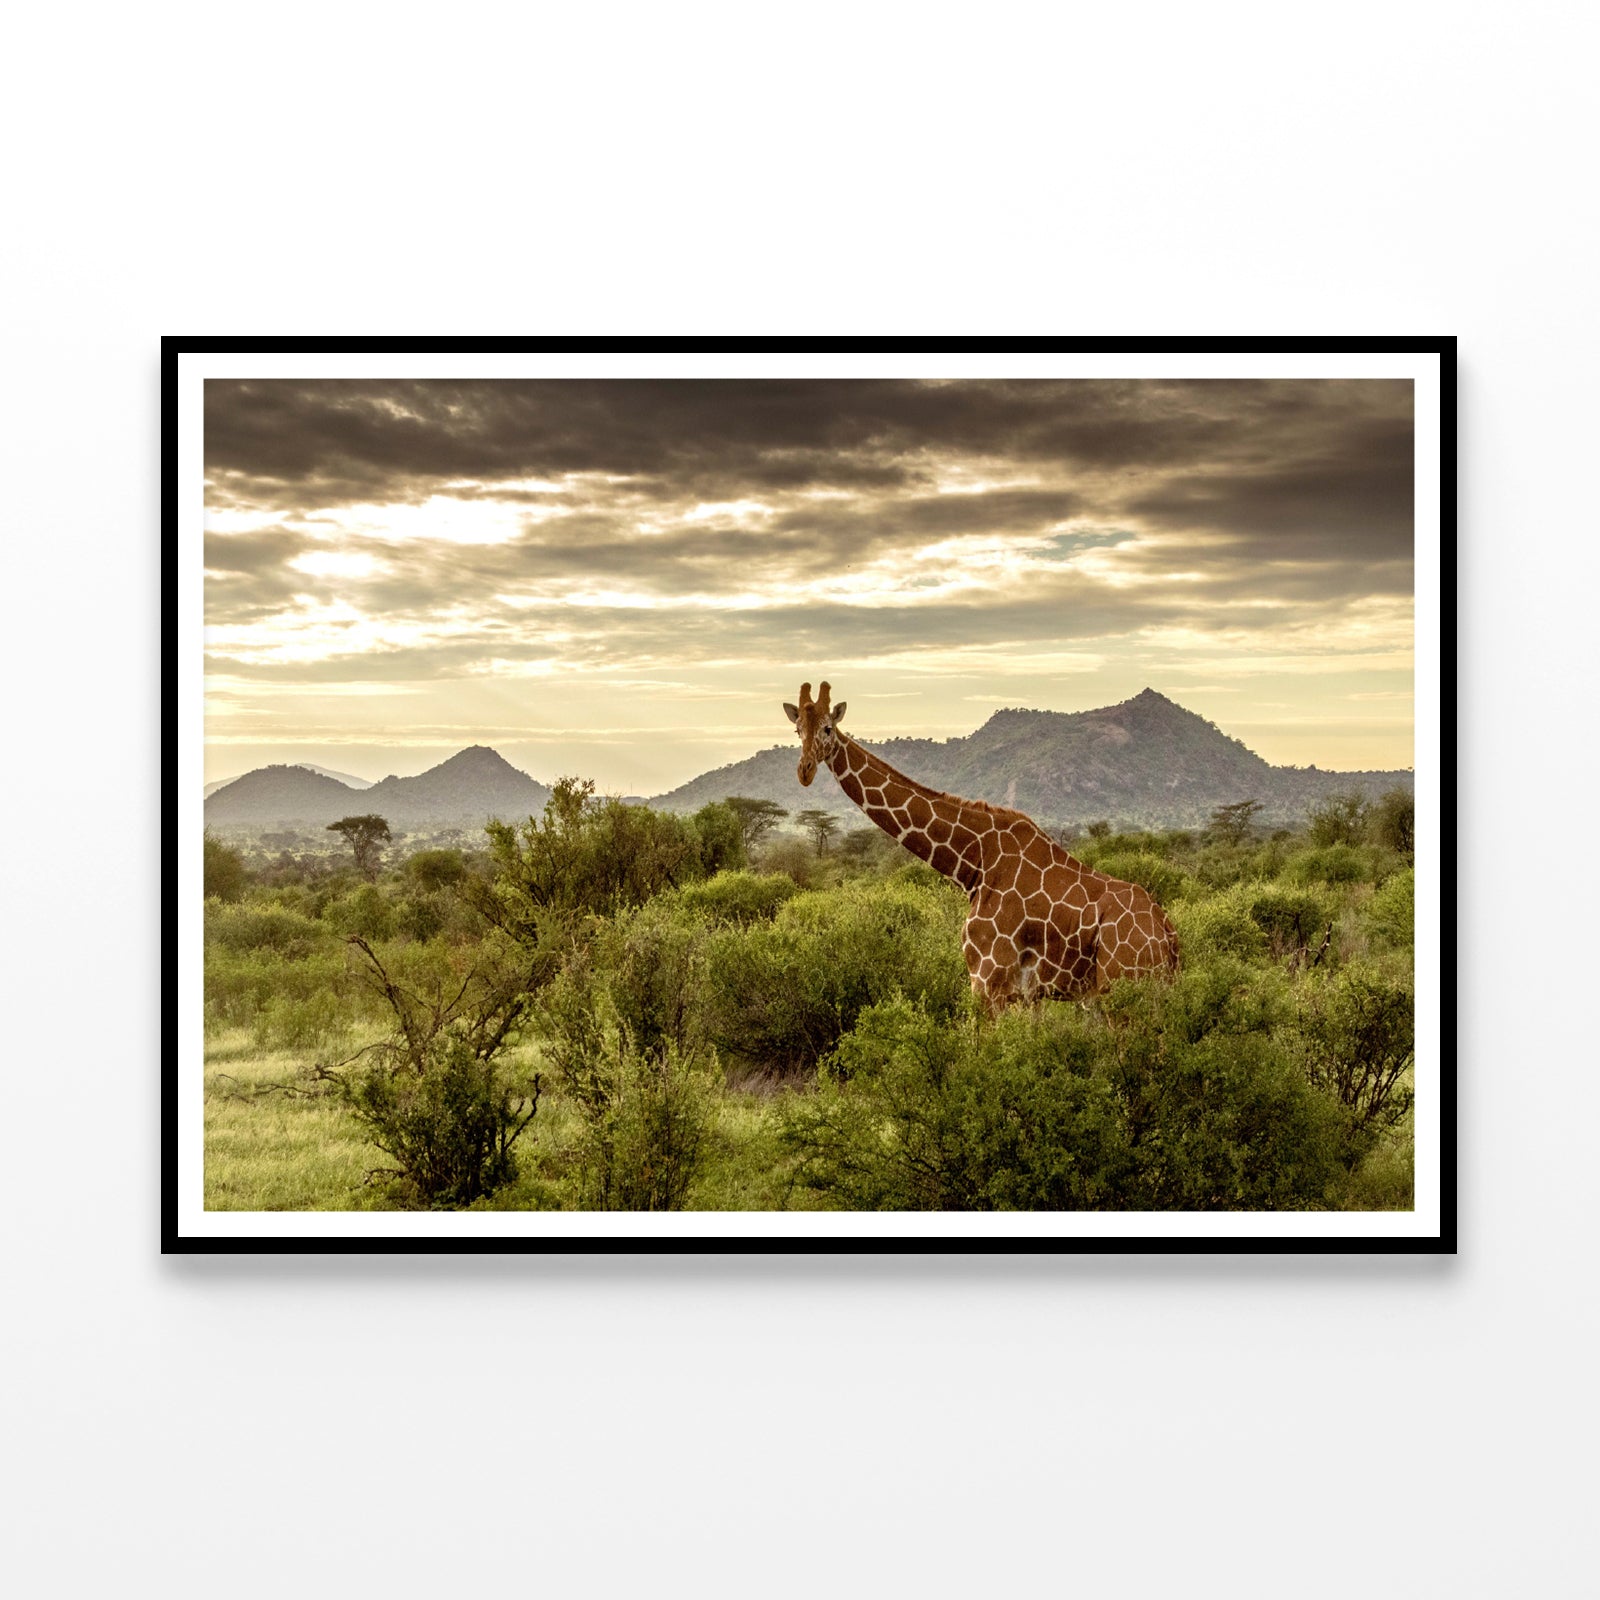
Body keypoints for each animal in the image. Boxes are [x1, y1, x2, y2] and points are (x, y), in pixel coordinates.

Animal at [784, 680, 1179, 1011]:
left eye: (828, 728)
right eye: (797, 729)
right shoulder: (1026, 995)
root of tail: (1169, 934)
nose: (804, 771)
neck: (974, 862)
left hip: (1123, 988)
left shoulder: (988, 980)